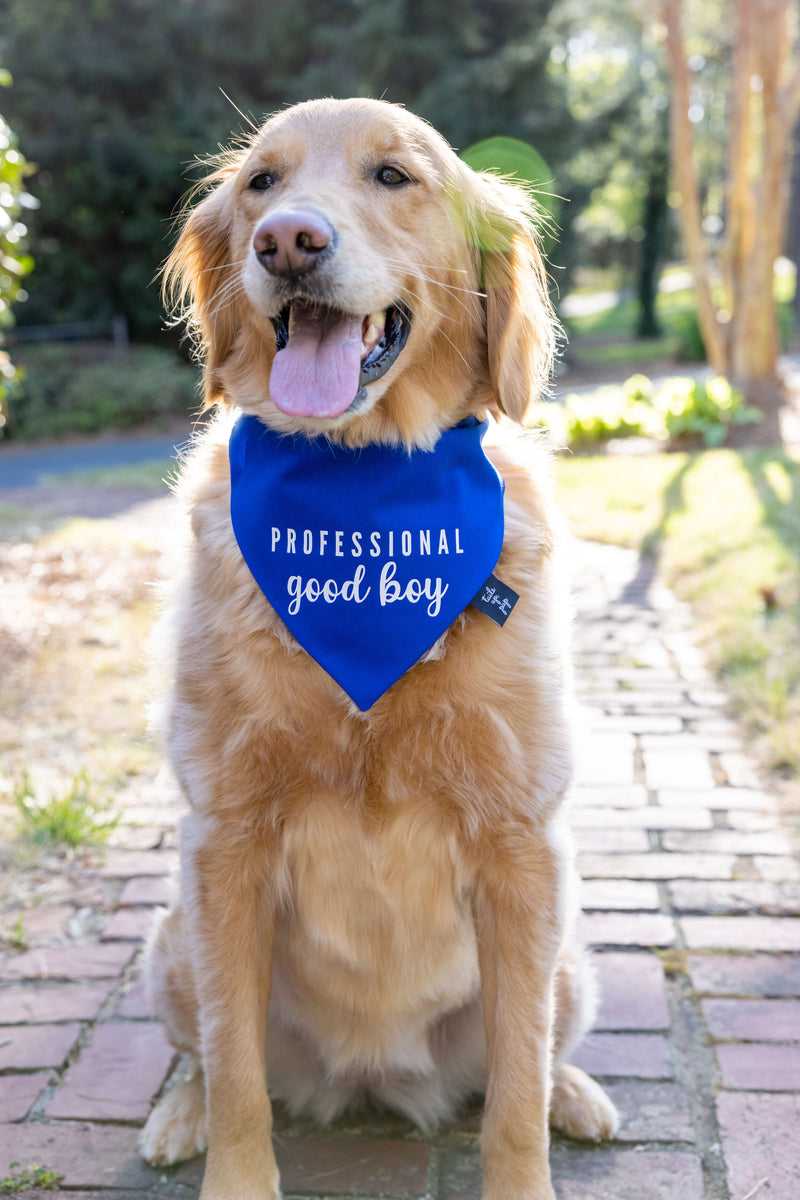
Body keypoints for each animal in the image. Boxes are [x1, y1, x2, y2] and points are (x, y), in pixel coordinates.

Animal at [140, 96, 618, 1200]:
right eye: (261, 185)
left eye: (394, 176)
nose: (287, 242)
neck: (363, 491)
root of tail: (371, 1078)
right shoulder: (222, 840)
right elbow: (235, 1074)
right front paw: (229, 1167)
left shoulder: (522, 844)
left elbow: (515, 1091)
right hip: (173, 938)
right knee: (200, 1054)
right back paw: (176, 1113)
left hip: (570, 953)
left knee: (541, 1053)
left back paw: (577, 1094)